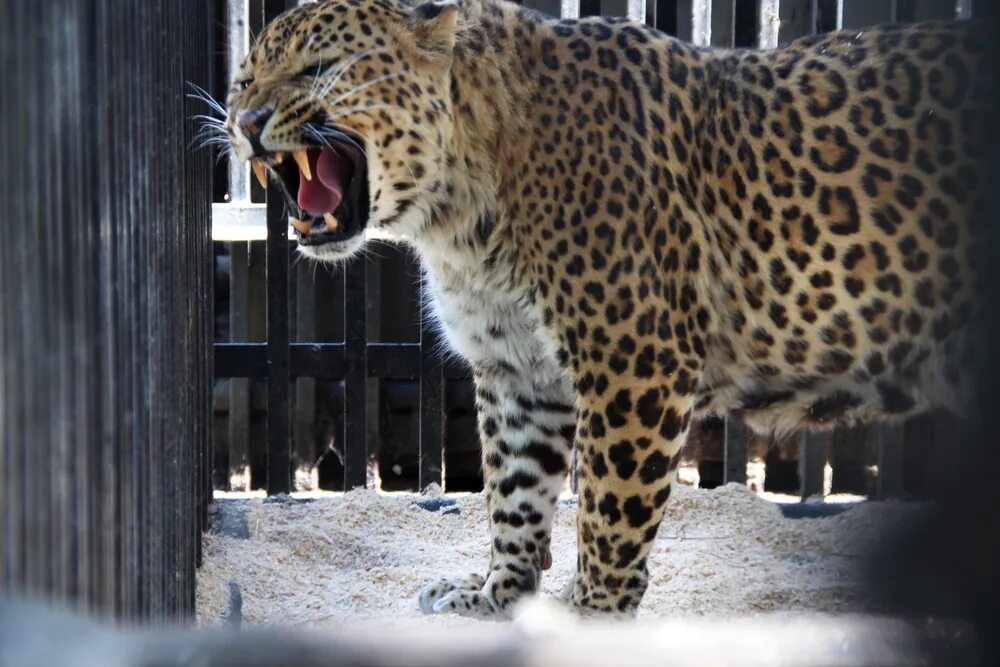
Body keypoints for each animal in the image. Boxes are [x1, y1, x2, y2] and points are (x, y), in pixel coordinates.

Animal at [227, 0, 992, 620]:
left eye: (321, 69)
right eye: (244, 80)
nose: (246, 121)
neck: (459, 214)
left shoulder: (633, 362)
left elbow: (610, 510)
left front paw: (591, 614)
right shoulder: (516, 370)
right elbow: (513, 491)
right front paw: (496, 594)